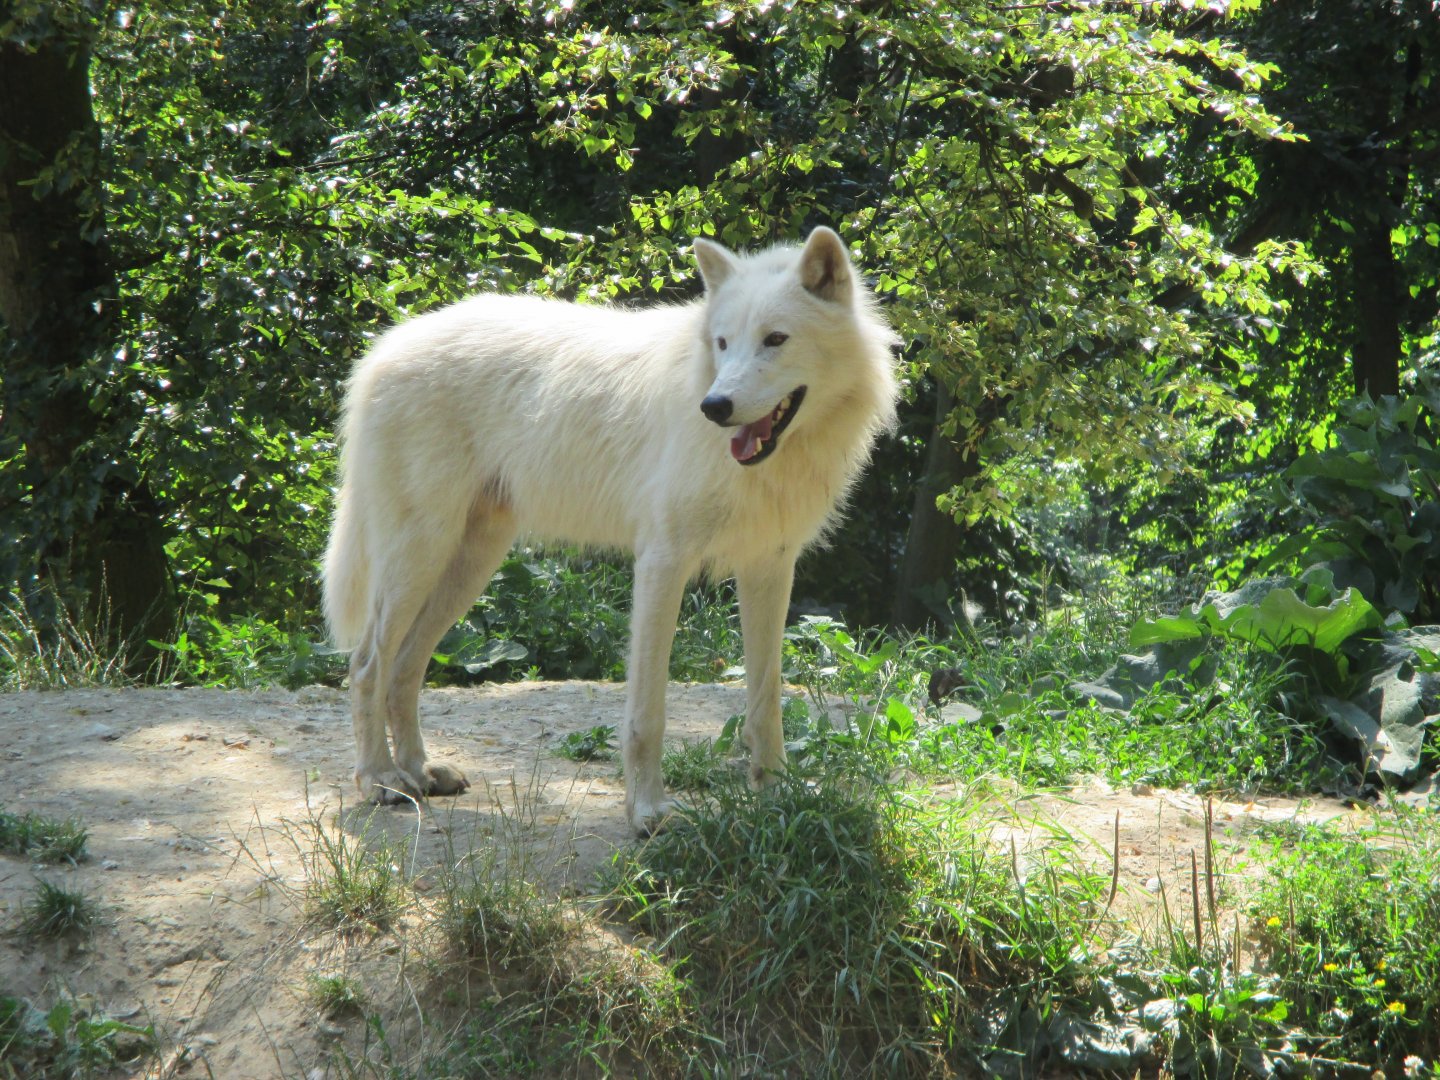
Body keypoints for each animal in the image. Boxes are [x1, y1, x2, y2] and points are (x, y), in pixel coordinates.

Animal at [322, 227, 899, 834]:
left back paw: (422, 772)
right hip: (421, 556)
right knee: (367, 664)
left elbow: (766, 701)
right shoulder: (662, 563)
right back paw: (381, 781)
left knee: (405, 666)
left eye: (775, 339)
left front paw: (777, 797)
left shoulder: (770, 566)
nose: (715, 406)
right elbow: (648, 713)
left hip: (469, 565)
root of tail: (384, 348)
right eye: (723, 343)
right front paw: (646, 812)